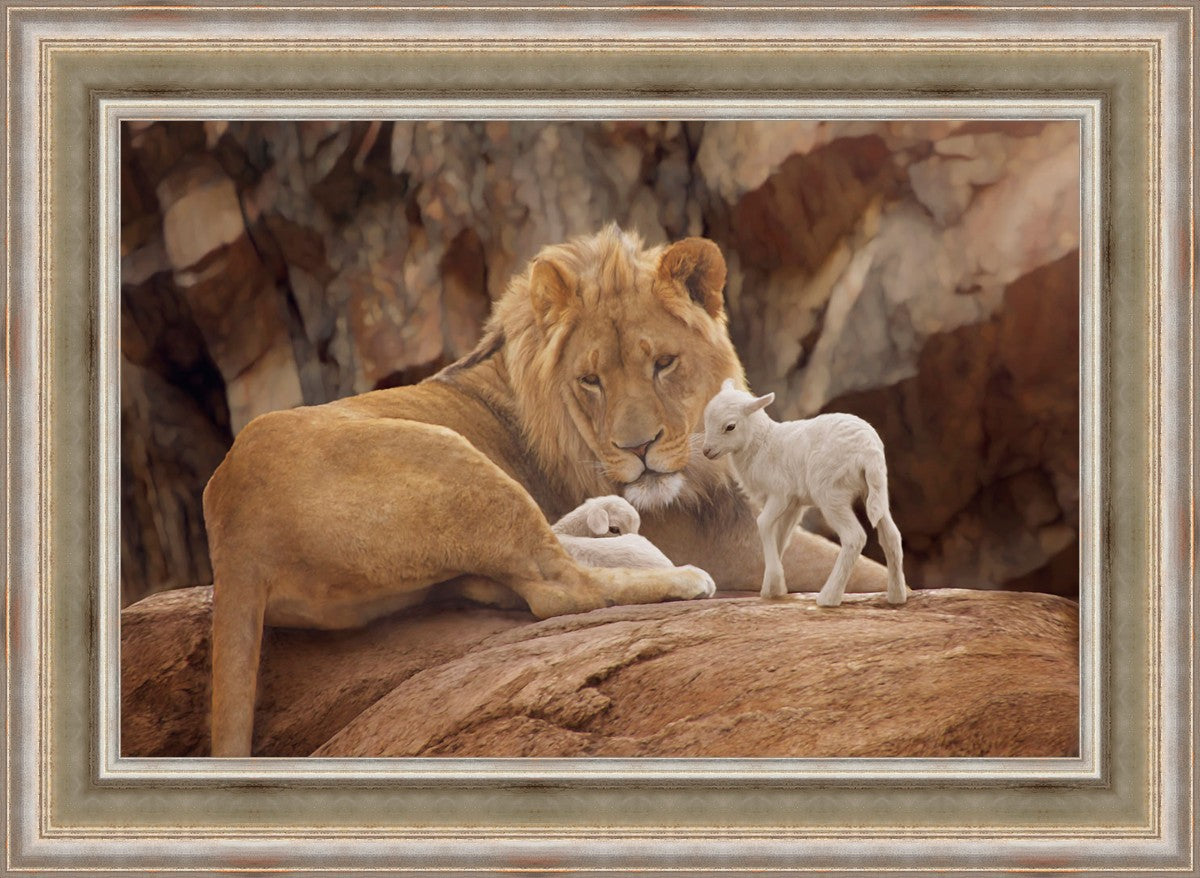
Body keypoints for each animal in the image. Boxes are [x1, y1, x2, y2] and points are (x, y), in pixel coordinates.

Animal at [700, 379, 907, 607]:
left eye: (730, 426)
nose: (706, 451)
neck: (762, 444)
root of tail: (868, 451)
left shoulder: (780, 493)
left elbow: (763, 524)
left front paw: (774, 582)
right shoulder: (794, 504)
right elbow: (781, 536)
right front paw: (773, 588)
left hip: (830, 492)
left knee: (854, 537)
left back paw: (829, 597)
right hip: (876, 489)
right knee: (891, 536)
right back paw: (897, 596)